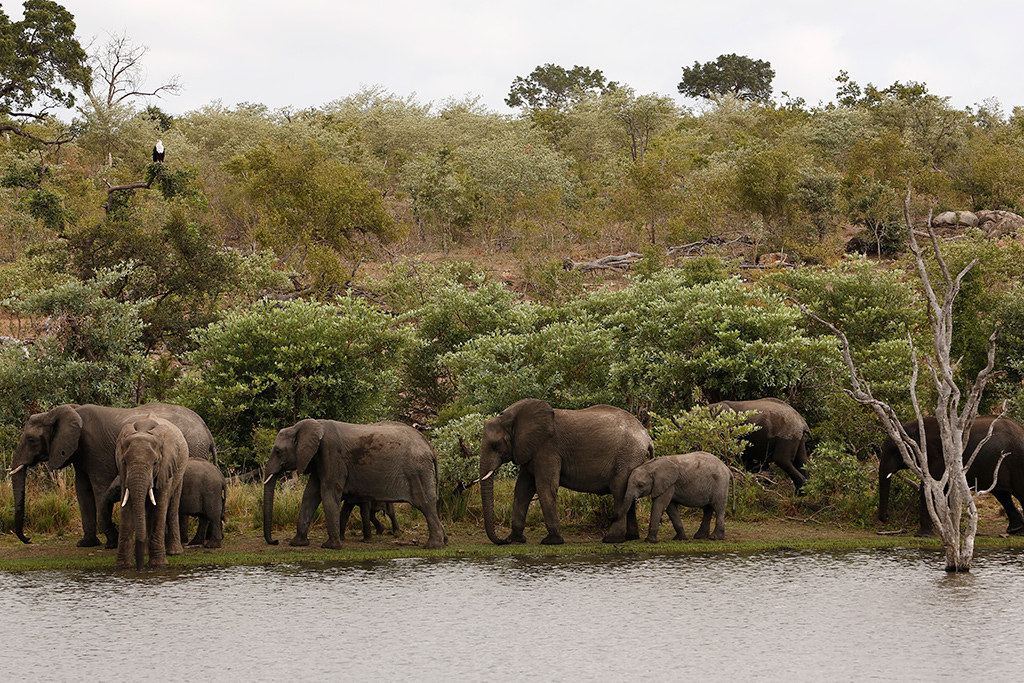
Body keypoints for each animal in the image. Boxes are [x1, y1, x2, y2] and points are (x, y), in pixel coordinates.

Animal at [10, 403, 217, 548]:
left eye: (31, 440)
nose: (28, 538)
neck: (68, 411)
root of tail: (207, 430)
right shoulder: (80, 453)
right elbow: (82, 490)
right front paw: (86, 544)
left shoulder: (95, 452)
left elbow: (99, 488)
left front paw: (112, 542)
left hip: (192, 449)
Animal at [114, 415, 189, 569]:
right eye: (124, 462)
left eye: (155, 462)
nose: (139, 568)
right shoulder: (124, 474)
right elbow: (126, 508)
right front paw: (123, 567)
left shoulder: (166, 466)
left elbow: (159, 507)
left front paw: (158, 565)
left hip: (180, 472)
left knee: (172, 507)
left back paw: (175, 552)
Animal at [262, 419, 446, 549]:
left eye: (278, 451)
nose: (275, 541)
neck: (308, 425)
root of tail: (429, 446)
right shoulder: (318, 458)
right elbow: (310, 495)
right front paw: (297, 543)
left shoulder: (332, 455)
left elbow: (328, 492)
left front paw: (330, 547)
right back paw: (444, 541)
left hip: (418, 470)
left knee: (425, 504)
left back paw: (433, 546)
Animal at [480, 398, 654, 545]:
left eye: (495, 445)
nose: (503, 541)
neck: (511, 417)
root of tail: (647, 437)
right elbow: (522, 489)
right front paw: (516, 539)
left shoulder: (547, 449)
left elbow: (545, 488)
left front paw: (551, 541)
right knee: (630, 494)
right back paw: (631, 537)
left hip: (627, 456)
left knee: (619, 492)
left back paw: (611, 539)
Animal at [878, 416, 1024, 536]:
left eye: (896, 453)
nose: (886, 517)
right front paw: (957, 532)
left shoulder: (941, 457)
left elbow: (929, 487)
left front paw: (923, 535)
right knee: (1003, 495)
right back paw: (1015, 530)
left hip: (1016, 462)